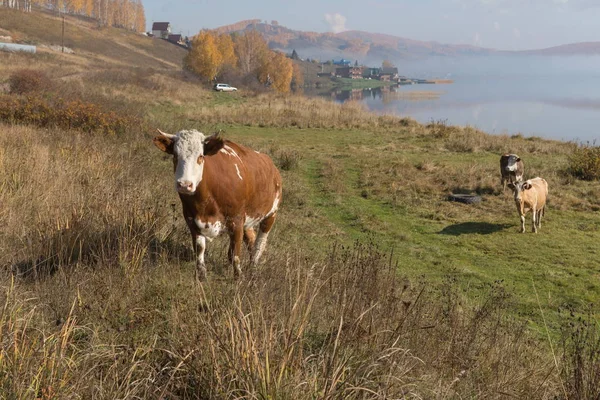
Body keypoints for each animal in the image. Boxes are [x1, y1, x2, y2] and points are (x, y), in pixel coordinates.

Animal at [151, 130, 280, 280]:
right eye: (175, 156)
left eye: (200, 156)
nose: (184, 184)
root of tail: (272, 166)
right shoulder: (191, 220)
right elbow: (200, 249)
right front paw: (201, 275)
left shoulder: (236, 220)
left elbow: (235, 253)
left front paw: (238, 278)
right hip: (248, 220)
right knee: (251, 240)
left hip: (270, 215)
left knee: (260, 243)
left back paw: (253, 266)